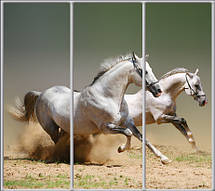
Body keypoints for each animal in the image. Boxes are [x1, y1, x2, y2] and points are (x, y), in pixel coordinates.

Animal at [9, 53, 161, 153]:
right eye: (143, 71)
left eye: (151, 69)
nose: (158, 90)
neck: (106, 96)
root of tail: (41, 94)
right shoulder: (106, 128)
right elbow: (128, 133)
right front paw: (121, 148)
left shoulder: (128, 122)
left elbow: (142, 138)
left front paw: (163, 159)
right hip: (51, 128)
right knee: (56, 142)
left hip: (65, 128)